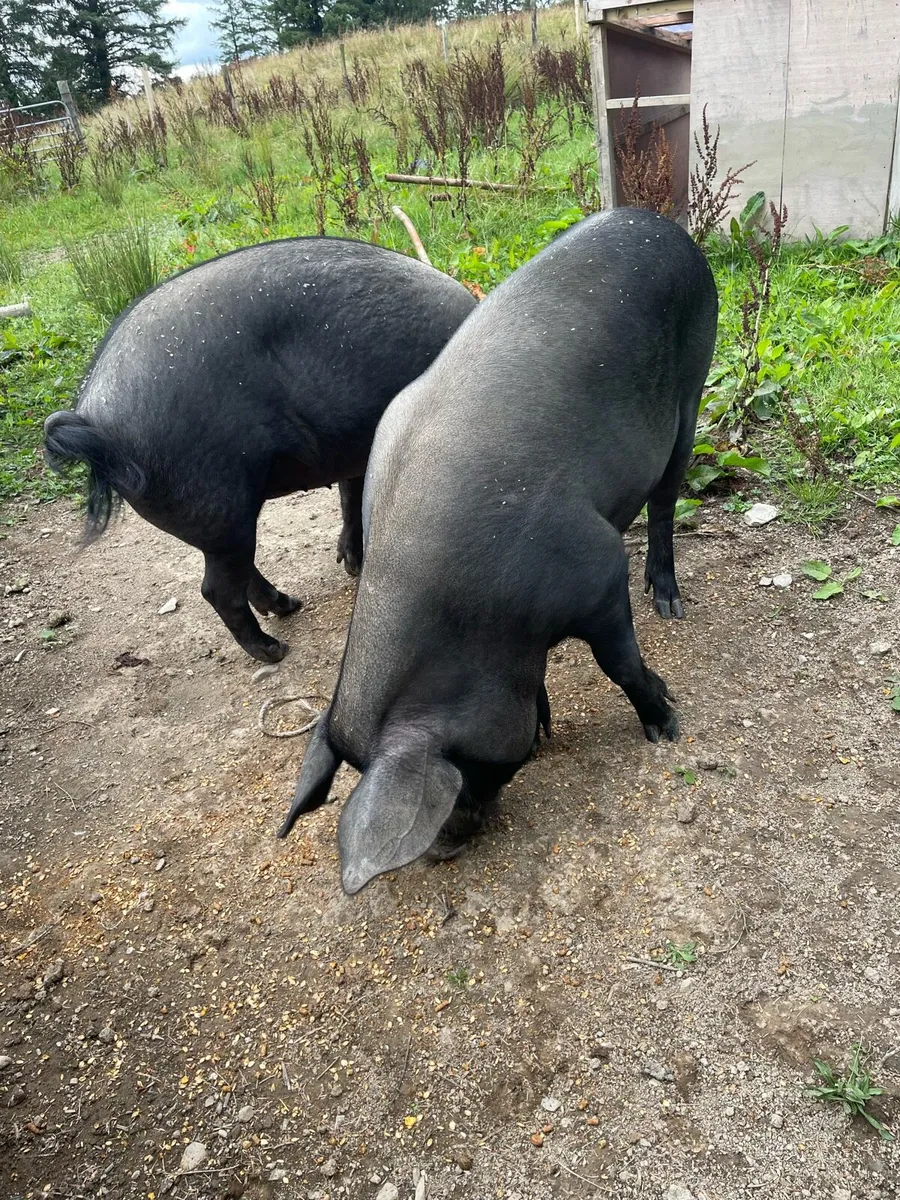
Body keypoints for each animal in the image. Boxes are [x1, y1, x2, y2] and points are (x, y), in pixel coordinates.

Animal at [42, 238, 477, 663]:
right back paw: (274, 649)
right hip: (219, 508)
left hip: (222, 522)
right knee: (217, 589)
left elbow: (351, 498)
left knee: (242, 573)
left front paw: (353, 564)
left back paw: (288, 605)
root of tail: (95, 418)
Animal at [278, 208, 718, 894]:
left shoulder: (598, 570)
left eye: (458, 765)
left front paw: (665, 725)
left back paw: (669, 603)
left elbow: (619, 664)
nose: (441, 850)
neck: (476, 619)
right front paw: (542, 730)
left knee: (668, 498)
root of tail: (655, 222)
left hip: (694, 381)